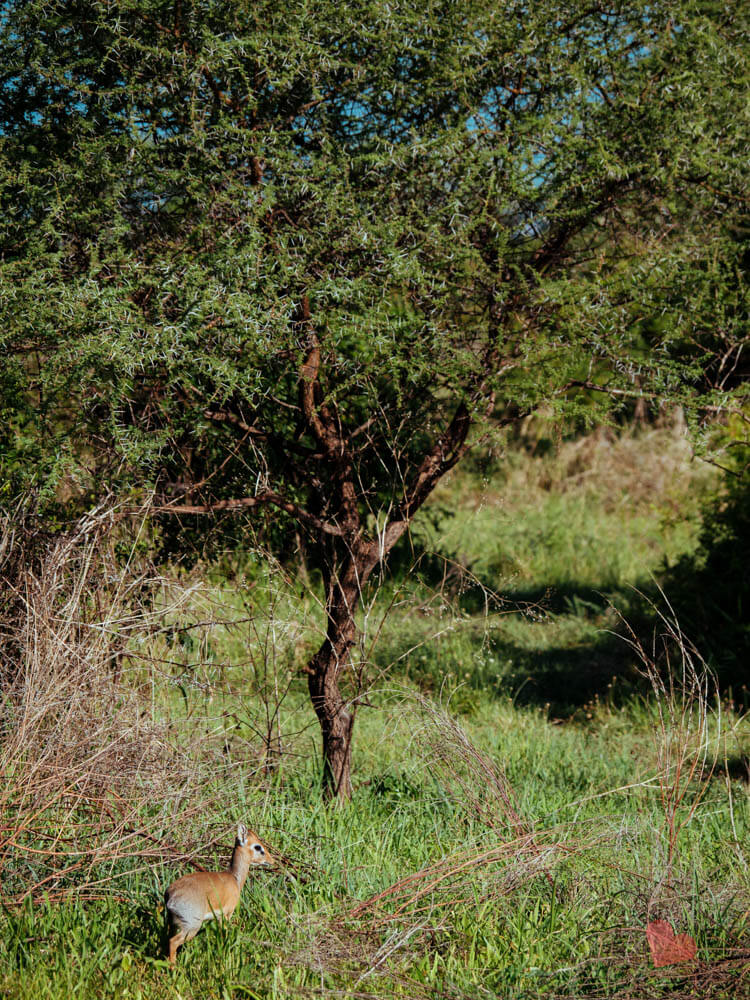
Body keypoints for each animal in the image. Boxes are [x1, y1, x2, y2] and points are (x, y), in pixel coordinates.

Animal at [166, 824, 278, 964]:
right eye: (257, 847)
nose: (271, 860)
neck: (234, 878)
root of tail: (171, 895)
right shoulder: (226, 915)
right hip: (191, 926)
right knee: (173, 942)